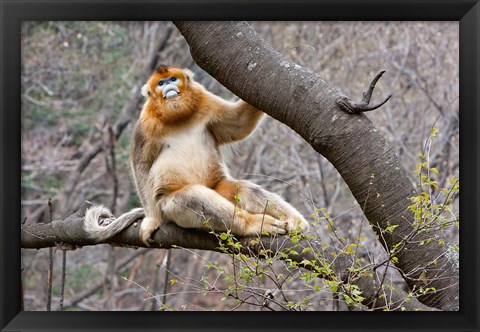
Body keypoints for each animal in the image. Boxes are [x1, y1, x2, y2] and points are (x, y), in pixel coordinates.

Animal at [84, 65, 310, 244]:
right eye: (161, 83)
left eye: (173, 79)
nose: (168, 87)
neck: (177, 116)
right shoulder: (145, 123)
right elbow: (141, 165)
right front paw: (151, 220)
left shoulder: (205, 99)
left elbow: (239, 123)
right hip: (168, 208)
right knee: (192, 197)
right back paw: (254, 224)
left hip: (217, 186)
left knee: (245, 190)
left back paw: (296, 222)